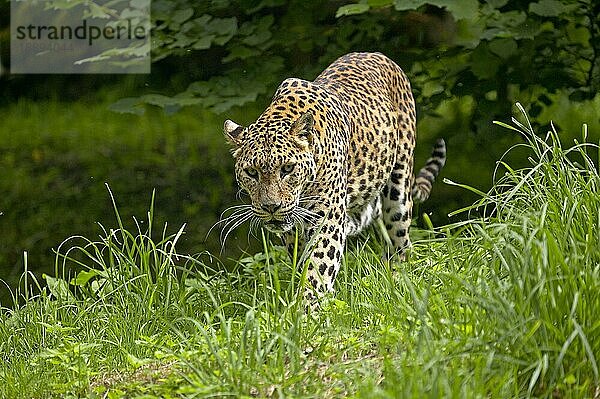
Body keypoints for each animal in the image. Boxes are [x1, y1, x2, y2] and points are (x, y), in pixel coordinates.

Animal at [220, 50, 446, 306]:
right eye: (251, 172)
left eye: (287, 169)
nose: (271, 207)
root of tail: (375, 53)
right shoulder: (294, 231)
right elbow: (303, 262)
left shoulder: (327, 220)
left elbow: (317, 267)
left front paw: (306, 309)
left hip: (399, 185)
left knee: (401, 242)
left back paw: (397, 280)